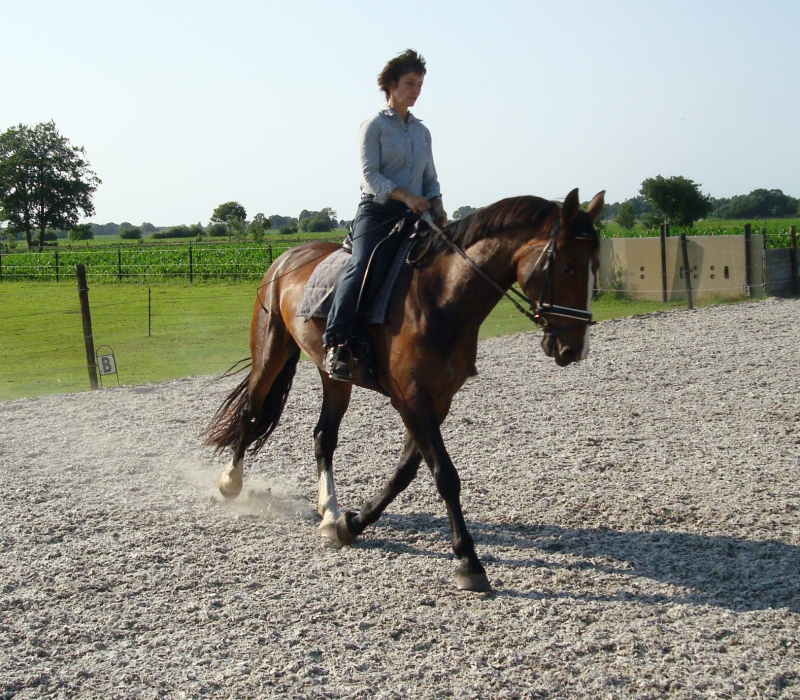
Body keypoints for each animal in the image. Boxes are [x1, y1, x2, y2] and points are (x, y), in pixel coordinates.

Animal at [203, 187, 604, 592]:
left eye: (594, 266)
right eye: (568, 266)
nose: (575, 349)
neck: (438, 297)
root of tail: (287, 256)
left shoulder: (437, 400)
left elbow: (405, 472)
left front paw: (351, 525)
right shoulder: (410, 398)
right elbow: (445, 475)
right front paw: (469, 561)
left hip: (334, 377)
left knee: (323, 436)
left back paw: (329, 512)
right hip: (270, 353)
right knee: (252, 413)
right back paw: (230, 483)